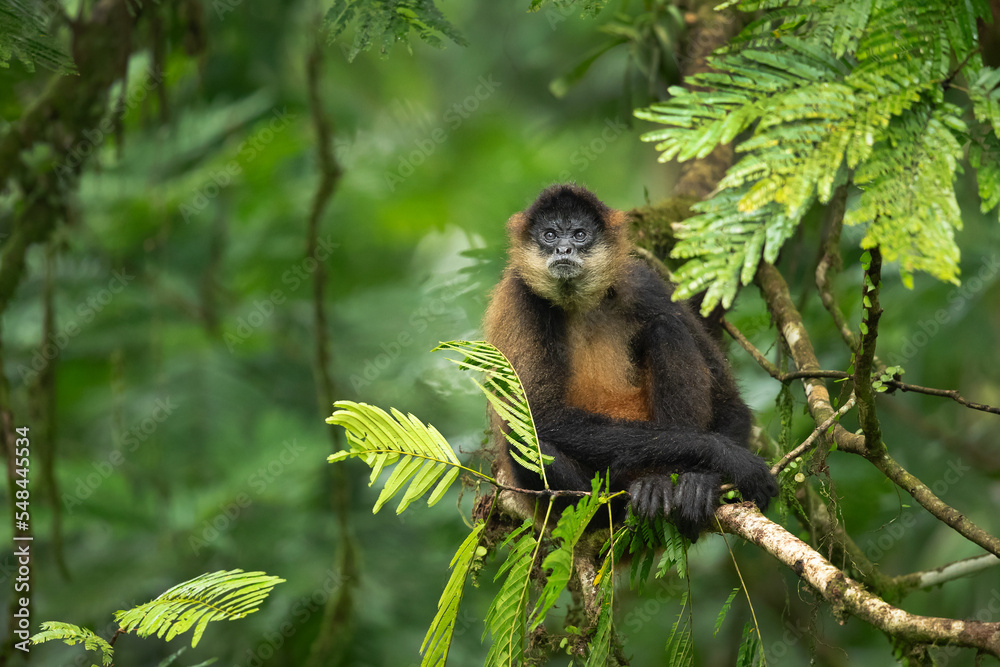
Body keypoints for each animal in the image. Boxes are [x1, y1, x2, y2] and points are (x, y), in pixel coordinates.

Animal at [483, 184, 778, 541]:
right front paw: (727, 456)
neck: (578, 303)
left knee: (665, 326)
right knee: (523, 437)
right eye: (549, 235)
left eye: (580, 234)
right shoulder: (521, 300)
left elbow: (730, 404)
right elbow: (541, 419)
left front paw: (706, 477)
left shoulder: (641, 282)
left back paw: (672, 482)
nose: (564, 248)